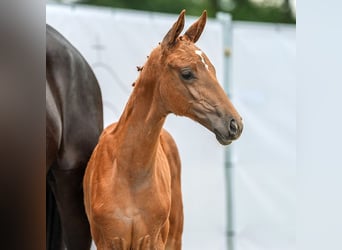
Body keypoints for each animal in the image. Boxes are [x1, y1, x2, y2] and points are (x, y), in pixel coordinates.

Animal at [83, 10, 243, 250]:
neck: (128, 172)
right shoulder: (109, 241)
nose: (235, 124)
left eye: (213, 70)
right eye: (187, 73)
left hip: (175, 236)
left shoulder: (153, 240)